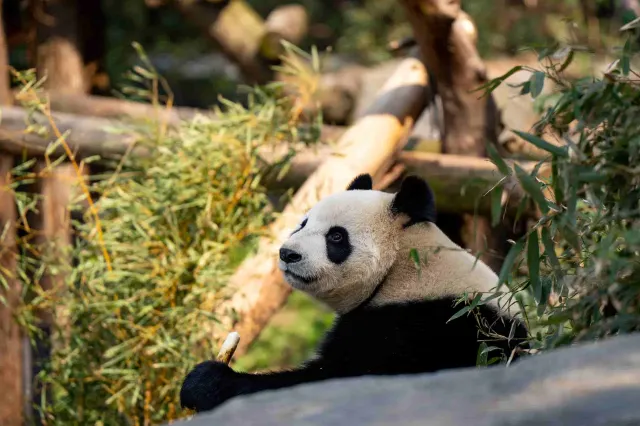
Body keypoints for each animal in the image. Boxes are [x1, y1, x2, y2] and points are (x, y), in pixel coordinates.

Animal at [180, 173, 528, 412]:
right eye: (302, 223)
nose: (287, 254)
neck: (402, 268)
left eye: (336, 237)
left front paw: (206, 381)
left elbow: (336, 379)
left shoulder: (415, 327)